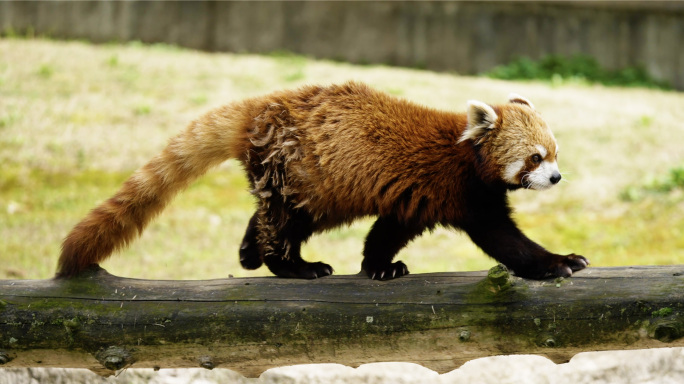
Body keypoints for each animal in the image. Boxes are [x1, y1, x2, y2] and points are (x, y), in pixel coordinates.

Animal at [56, 82, 588, 280]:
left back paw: (248, 252)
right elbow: (504, 240)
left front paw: (379, 266)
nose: (557, 176)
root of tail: (258, 107)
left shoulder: (413, 197)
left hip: (309, 186)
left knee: (269, 215)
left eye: (556, 153)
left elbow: (387, 231)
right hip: (299, 173)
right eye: (535, 157)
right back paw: (292, 265)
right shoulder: (456, 190)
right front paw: (559, 261)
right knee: (281, 224)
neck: (466, 154)